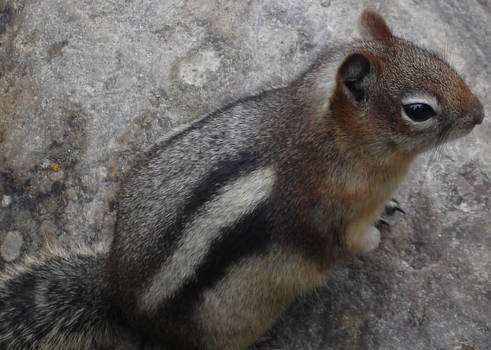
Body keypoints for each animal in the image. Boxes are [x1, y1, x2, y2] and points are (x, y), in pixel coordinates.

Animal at [0, 8, 484, 350]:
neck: (331, 136)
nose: (480, 115)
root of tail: (113, 288)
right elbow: (347, 242)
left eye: (436, 56)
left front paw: (389, 210)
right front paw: (374, 240)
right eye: (418, 110)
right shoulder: (329, 213)